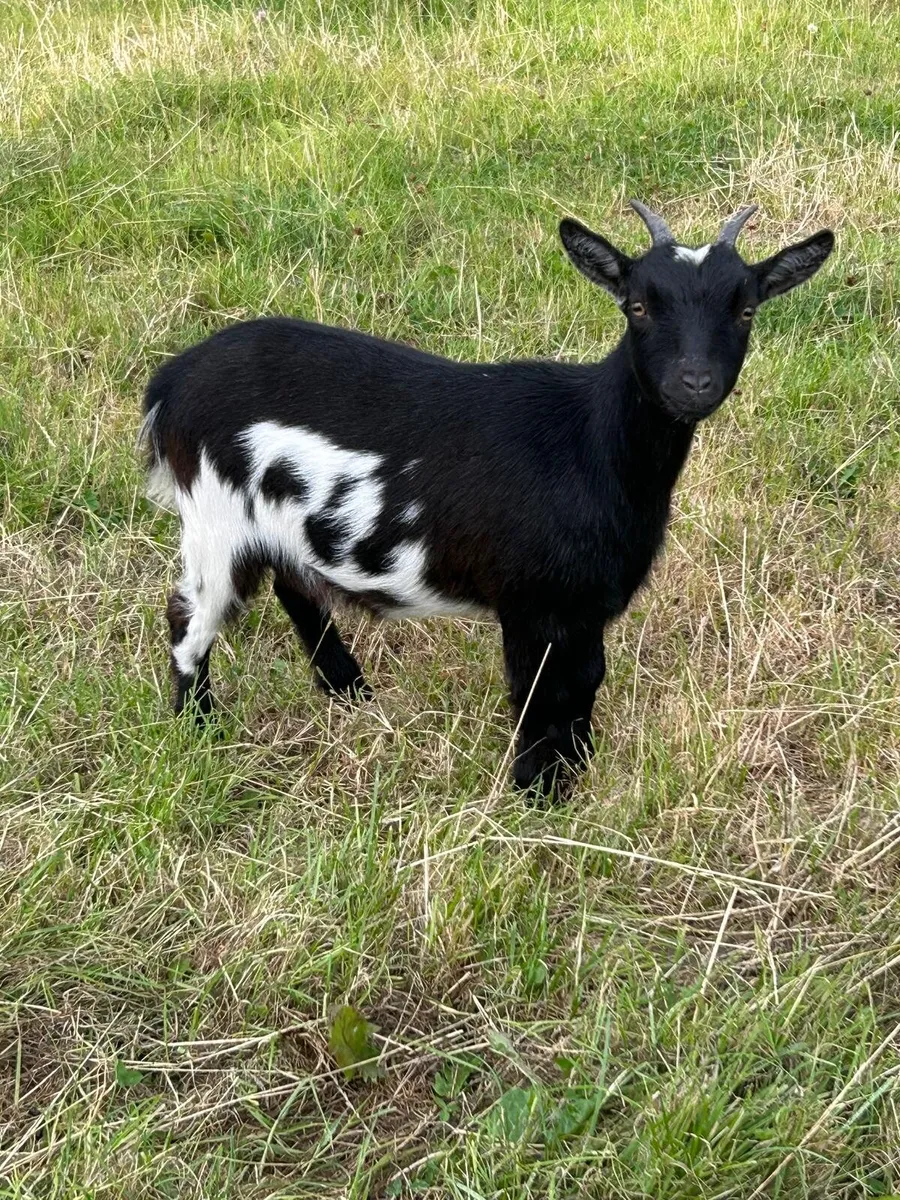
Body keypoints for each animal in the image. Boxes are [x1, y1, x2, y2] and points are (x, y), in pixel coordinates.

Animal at [141, 201, 833, 795]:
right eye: (637, 305)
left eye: (746, 310)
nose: (695, 382)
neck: (588, 443)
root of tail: (172, 381)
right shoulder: (529, 600)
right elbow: (535, 690)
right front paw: (536, 794)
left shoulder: (584, 604)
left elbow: (584, 681)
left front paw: (576, 770)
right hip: (216, 518)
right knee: (189, 618)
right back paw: (199, 727)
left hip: (280, 522)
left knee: (293, 584)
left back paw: (348, 690)